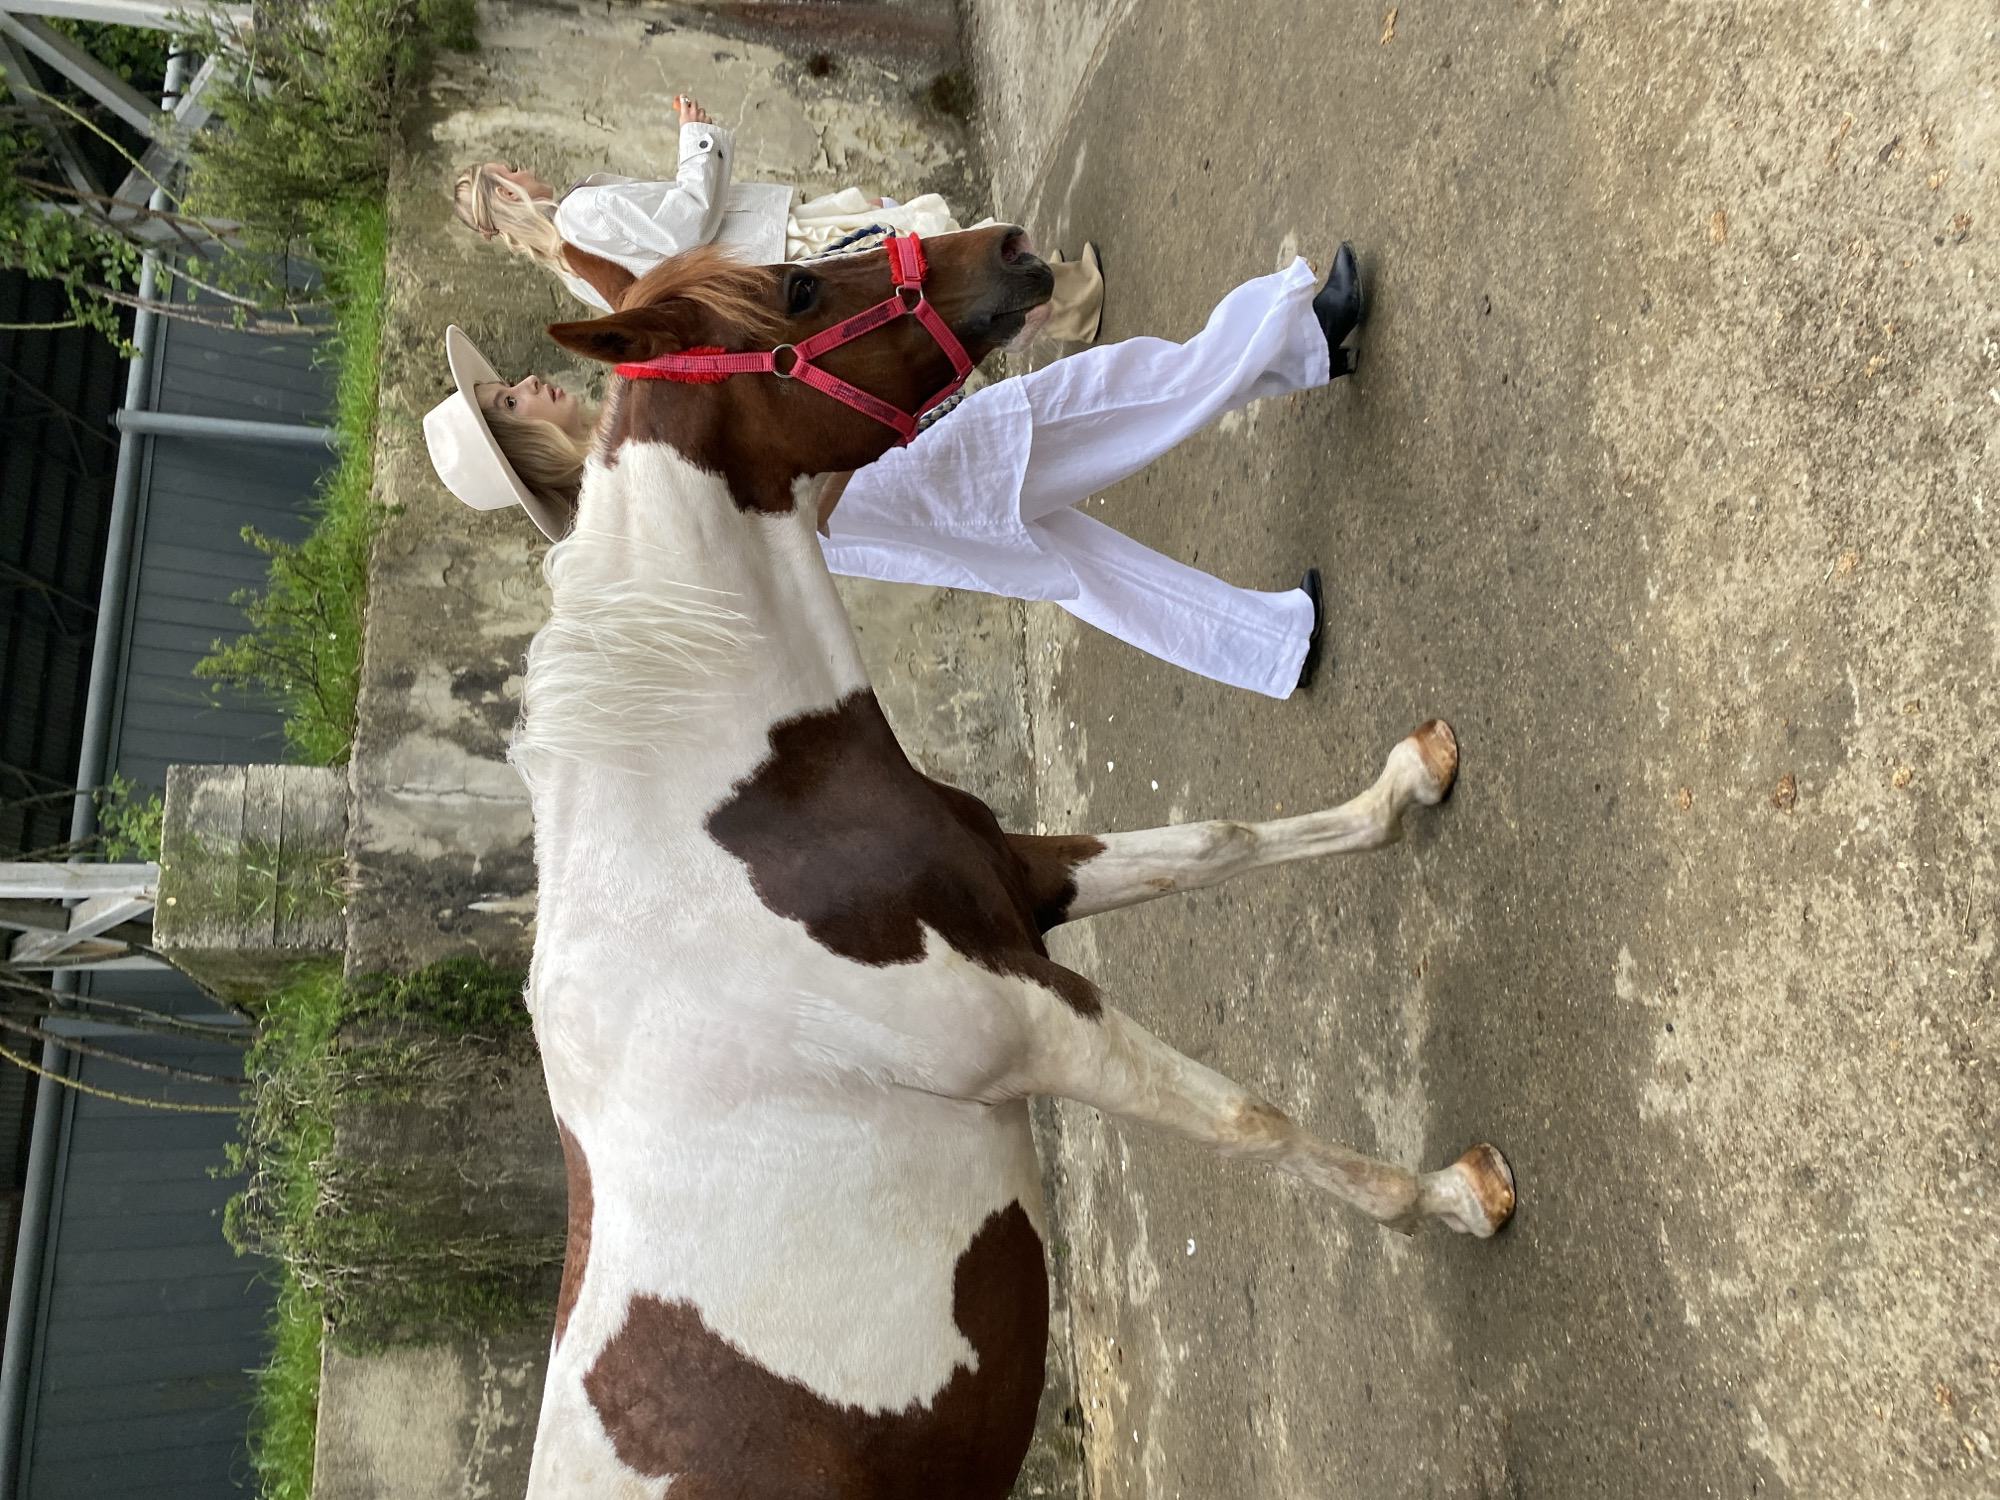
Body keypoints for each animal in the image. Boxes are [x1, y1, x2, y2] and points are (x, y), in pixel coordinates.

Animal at [511, 225, 1515, 1498]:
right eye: (797, 288)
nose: (1008, 247)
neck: (713, 834)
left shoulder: (1019, 893)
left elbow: (1216, 842)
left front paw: (1407, 784)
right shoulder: (1028, 1024)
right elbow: (1249, 1121)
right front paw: (1451, 1197)